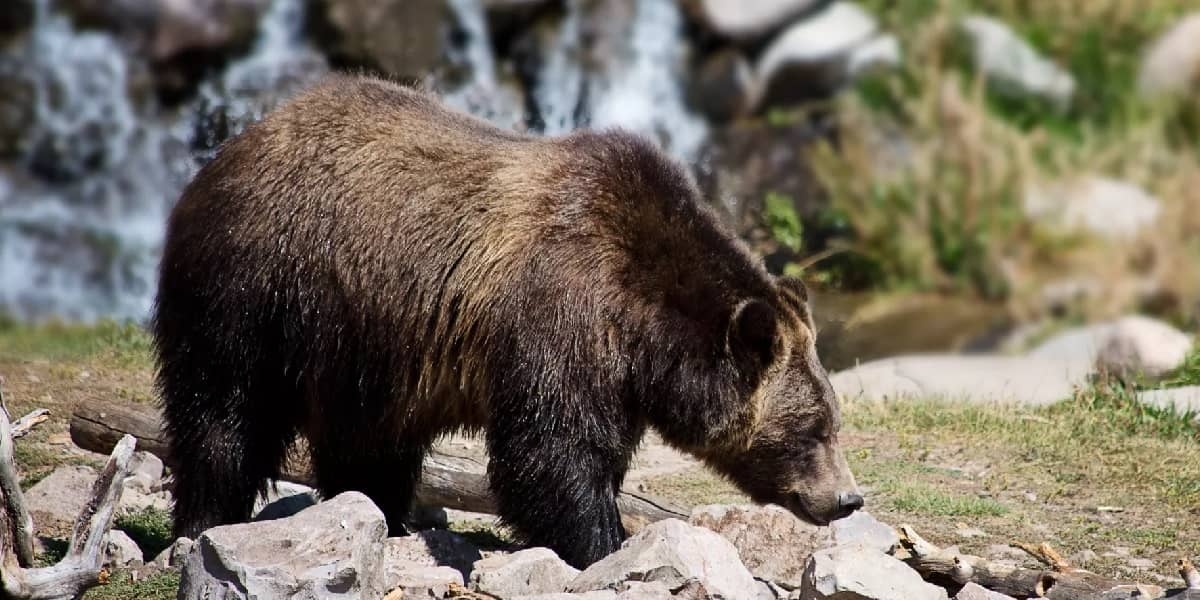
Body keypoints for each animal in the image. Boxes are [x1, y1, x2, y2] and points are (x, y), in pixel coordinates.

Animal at [152, 73, 864, 566]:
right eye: (814, 428)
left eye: (833, 420)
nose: (847, 498)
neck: (645, 325)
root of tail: (233, 146)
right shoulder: (563, 312)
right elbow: (551, 453)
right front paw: (603, 543)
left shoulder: (615, 371)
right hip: (259, 287)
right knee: (224, 411)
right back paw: (204, 520)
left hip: (362, 343)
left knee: (368, 441)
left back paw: (382, 513)